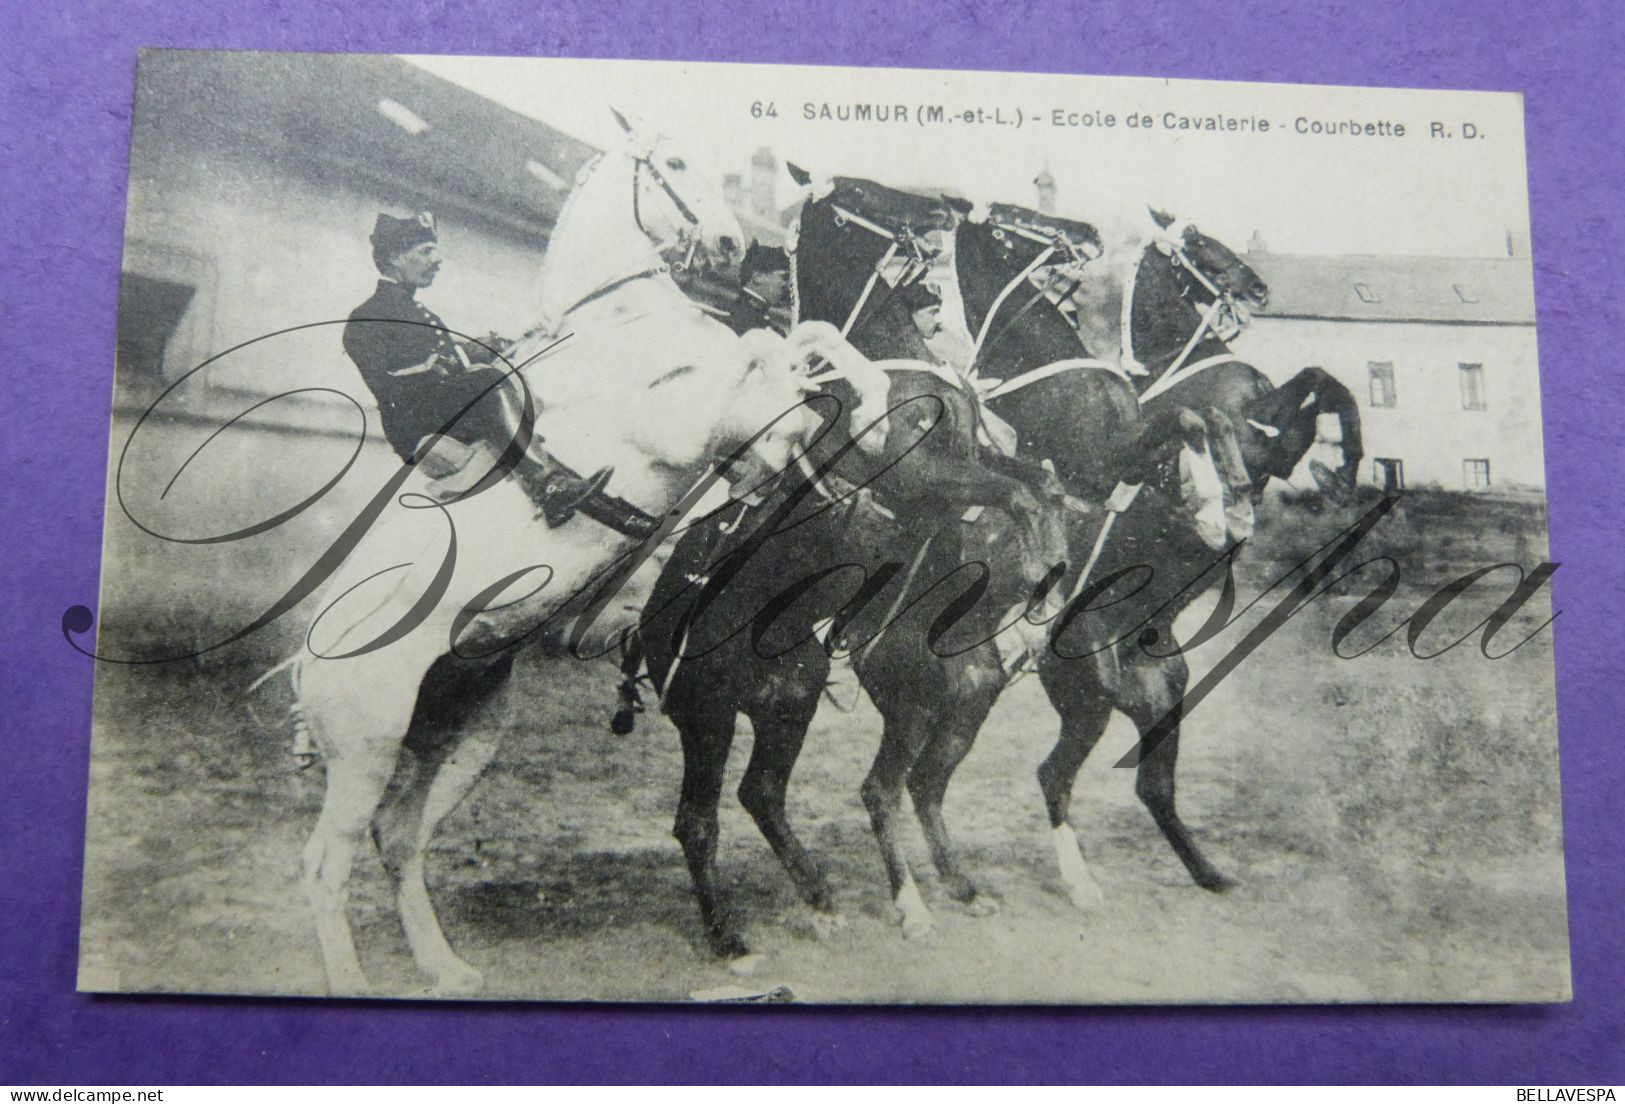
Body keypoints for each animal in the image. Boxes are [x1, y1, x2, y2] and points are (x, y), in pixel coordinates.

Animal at [299, 116, 897, 995]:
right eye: (674, 161)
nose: (728, 243)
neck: (620, 322)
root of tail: (308, 655)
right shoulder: (682, 423)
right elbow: (762, 357)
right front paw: (786, 435)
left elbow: (812, 344)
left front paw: (863, 407)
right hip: (368, 742)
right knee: (327, 861)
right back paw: (354, 979)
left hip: (461, 733)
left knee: (398, 838)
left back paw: (446, 966)